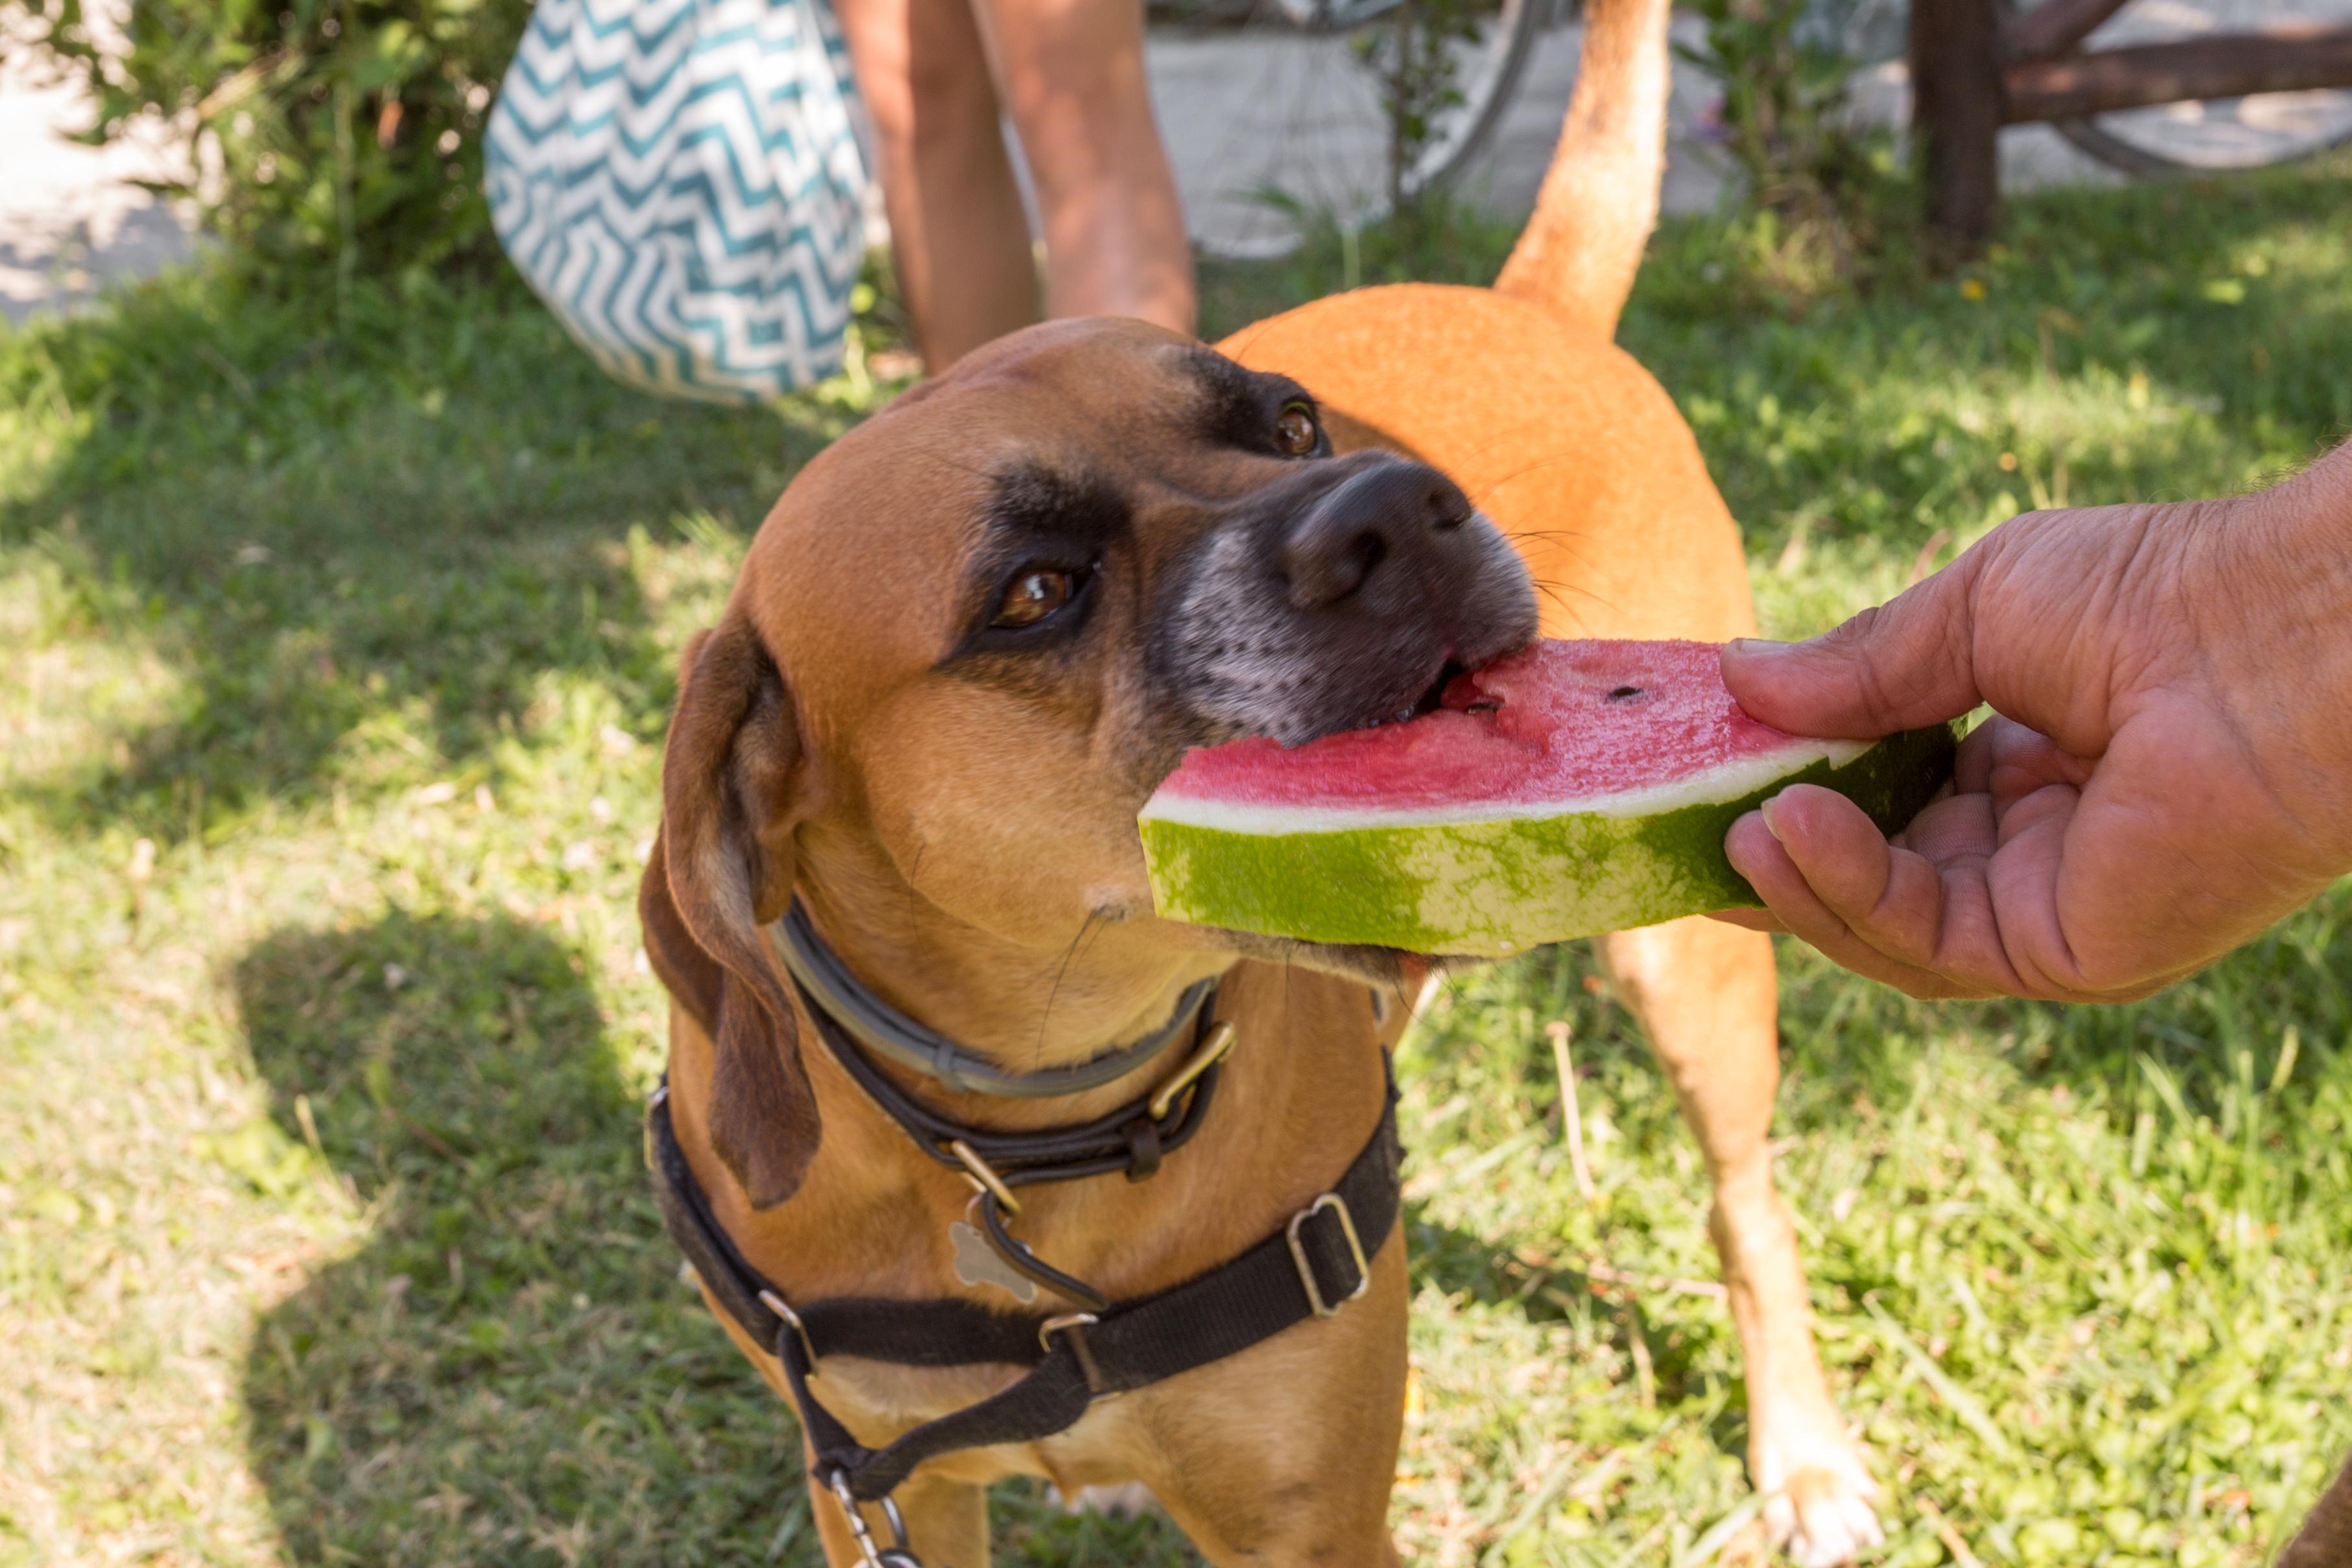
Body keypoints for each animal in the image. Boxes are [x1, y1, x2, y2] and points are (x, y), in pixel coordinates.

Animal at [649, 3, 1890, 1568]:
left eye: (1291, 426)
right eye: (1032, 592)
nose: (1398, 506)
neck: (1037, 1141)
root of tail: (1531, 305)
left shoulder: (1309, 1513)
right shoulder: (879, 1489)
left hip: (1686, 978)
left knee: (1745, 1205)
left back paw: (1800, 1449)